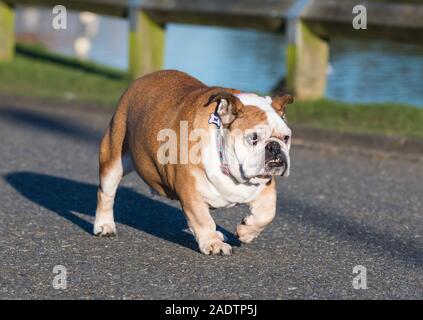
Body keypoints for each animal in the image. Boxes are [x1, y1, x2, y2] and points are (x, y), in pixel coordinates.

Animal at [94, 70, 294, 255]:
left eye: (286, 137)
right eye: (253, 138)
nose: (275, 147)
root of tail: (140, 80)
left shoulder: (265, 184)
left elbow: (268, 212)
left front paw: (246, 231)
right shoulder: (190, 190)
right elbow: (202, 219)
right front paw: (213, 243)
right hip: (114, 156)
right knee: (106, 193)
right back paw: (104, 226)